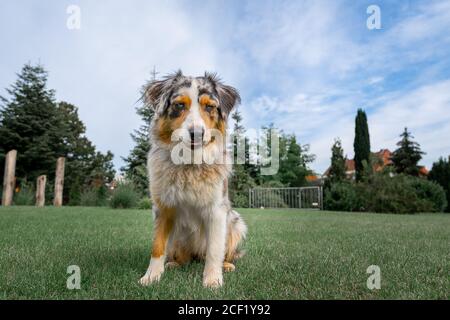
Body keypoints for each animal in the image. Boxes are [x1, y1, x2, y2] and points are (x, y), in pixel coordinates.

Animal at [140, 70, 248, 288]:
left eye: (209, 106)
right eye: (180, 105)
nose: (197, 134)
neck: (189, 164)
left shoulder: (217, 210)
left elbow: (215, 249)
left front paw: (213, 279)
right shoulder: (163, 208)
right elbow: (158, 246)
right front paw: (152, 276)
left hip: (236, 223)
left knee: (222, 252)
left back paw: (226, 265)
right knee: (182, 256)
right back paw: (174, 263)